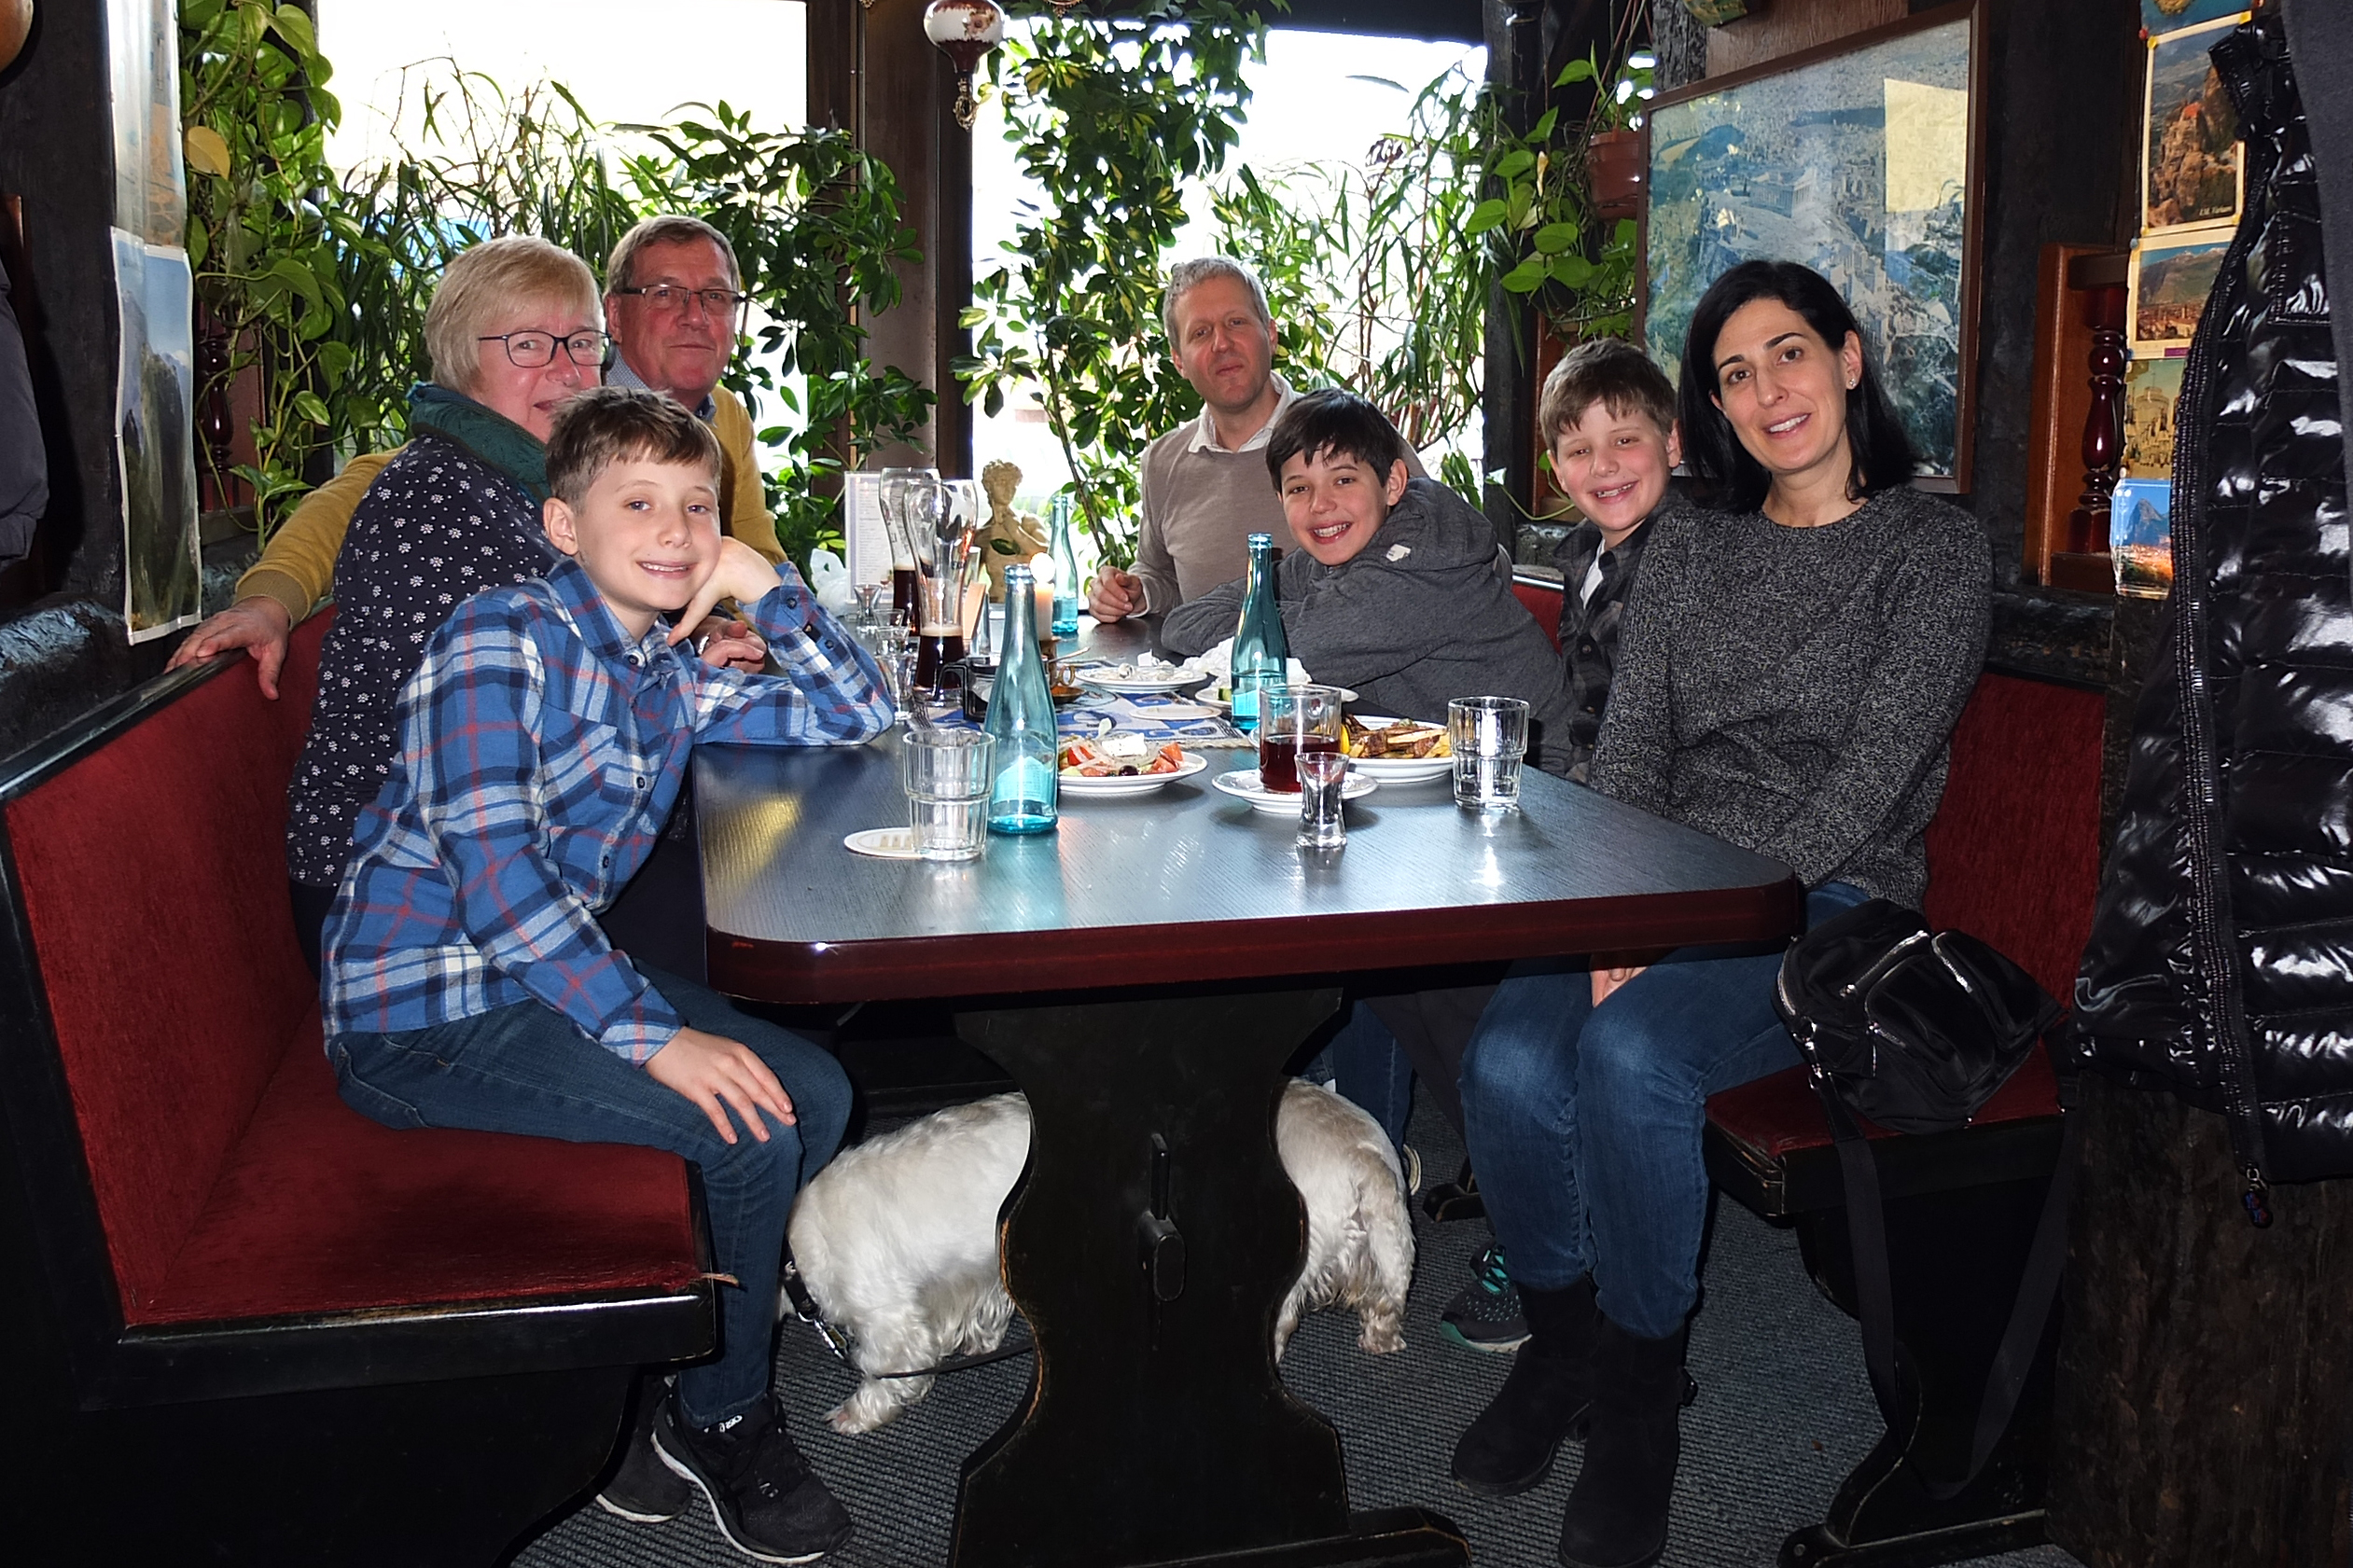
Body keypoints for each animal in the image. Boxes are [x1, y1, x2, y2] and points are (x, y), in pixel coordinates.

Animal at [787, 1079, 1414, 1435]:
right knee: (1384, 1302)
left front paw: (852, 1414)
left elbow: (886, 1372)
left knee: (1276, 1326)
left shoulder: (893, 1323)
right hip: (1388, 1248)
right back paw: (1379, 1339)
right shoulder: (977, 1273)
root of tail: (1364, 1160)